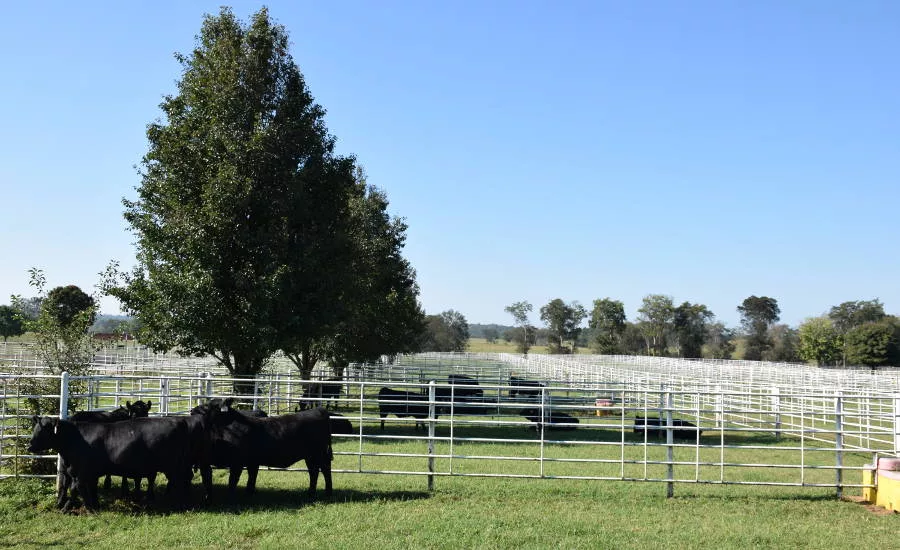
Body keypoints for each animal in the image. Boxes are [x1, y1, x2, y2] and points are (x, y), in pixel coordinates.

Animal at [28, 415, 194, 511]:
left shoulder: (81, 473)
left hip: (174, 466)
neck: (75, 439)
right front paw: (94, 506)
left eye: (43, 431)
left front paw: (77, 509)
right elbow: (89, 489)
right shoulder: (85, 473)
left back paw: (178, 503)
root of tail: (178, 420)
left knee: (180, 481)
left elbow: (76, 489)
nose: (29, 446)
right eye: (35, 429)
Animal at [198, 398, 333, 503]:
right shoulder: (252, 462)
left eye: (209, 406)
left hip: (319, 454)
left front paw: (230, 498)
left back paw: (328, 493)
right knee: (314, 471)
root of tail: (319, 410)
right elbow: (251, 477)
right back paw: (311, 493)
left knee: (325, 470)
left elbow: (232, 481)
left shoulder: (237, 463)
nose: (195, 410)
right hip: (310, 456)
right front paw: (249, 493)